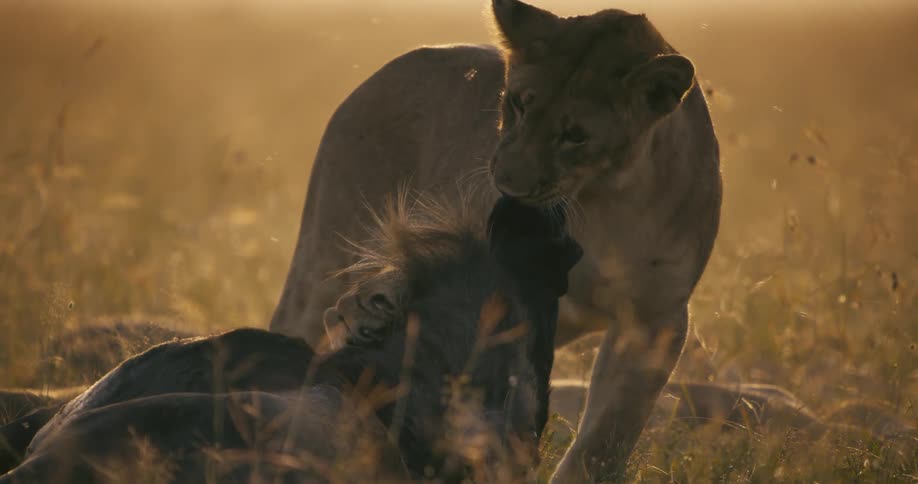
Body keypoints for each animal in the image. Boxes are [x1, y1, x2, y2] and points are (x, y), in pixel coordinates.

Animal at [269, 0, 721, 480]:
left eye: (576, 135)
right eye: (519, 103)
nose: (506, 181)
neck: (605, 201)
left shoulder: (654, 319)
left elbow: (607, 436)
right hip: (323, 257)